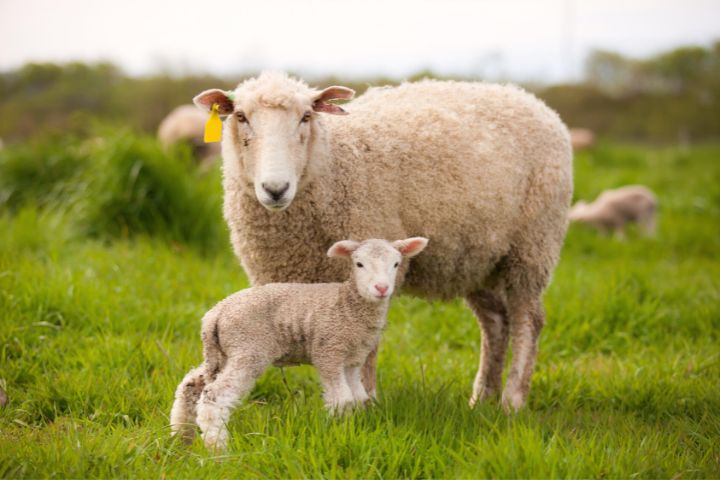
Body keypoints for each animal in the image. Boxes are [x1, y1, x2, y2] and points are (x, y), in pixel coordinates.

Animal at [170, 237, 429, 450]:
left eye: (396, 264)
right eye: (359, 264)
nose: (382, 288)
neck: (349, 304)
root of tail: (215, 315)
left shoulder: (352, 359)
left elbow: (358, 398)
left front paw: (352, 429)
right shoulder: (328, 350)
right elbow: (342, 399)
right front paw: (334, 433)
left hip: (222, 354)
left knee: (190, 385)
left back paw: (181, 437)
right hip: (248, 348)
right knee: (214, 396)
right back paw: (218, 449)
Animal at [192, 71, 573, 412]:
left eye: (306, 117)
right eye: (240, 117)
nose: (275, 189)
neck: (331, 166)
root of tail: (531, 100)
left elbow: (365, 351)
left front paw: (366, 404)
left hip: (533, 244)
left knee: (528, 319)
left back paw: (512, 402)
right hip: (475, 257)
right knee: (495, 321)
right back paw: (482, 399)